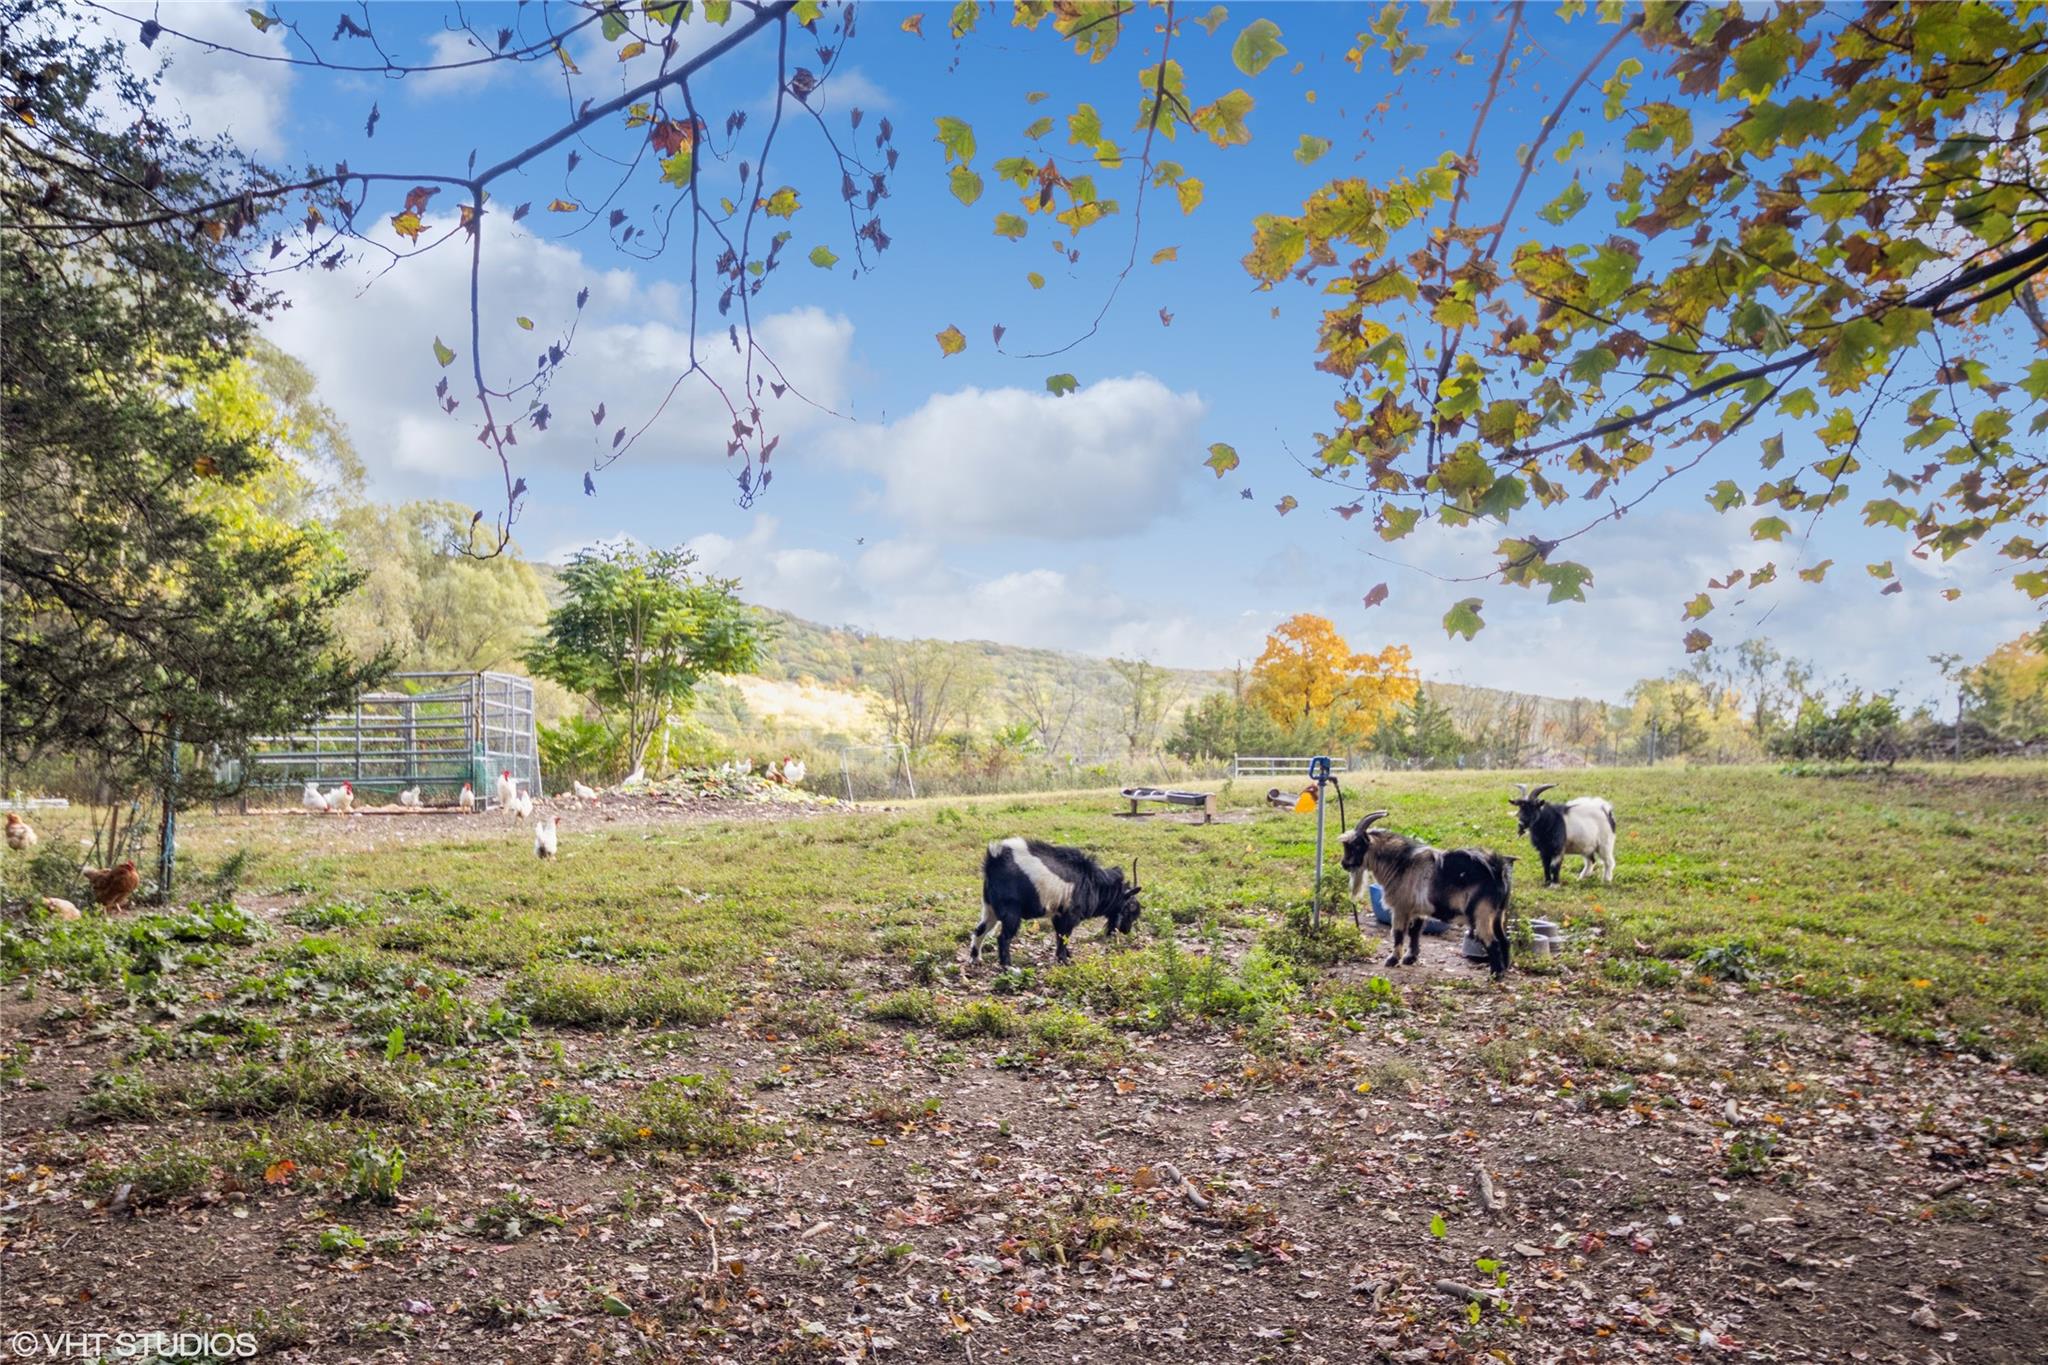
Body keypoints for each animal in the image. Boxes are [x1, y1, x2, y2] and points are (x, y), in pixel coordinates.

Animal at [970, 834, 1146, 970]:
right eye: (1131, 907)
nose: (1126, 930)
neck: (1093, 882)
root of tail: (994, 859)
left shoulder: (1057, 914)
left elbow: (1060, 936)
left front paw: (1067, 956)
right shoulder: (1070, 915)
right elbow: (1064, 936)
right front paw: (1064, 960)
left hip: (989, 908)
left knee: (980, 930)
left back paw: (975, 959)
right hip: (1011, 912)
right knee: (1003, 938)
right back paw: (1008, 966)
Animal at [1327, 810, 1523, 982]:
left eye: (1357, 845)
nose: (1344, 864)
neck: (1401, 863)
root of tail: (1498, 870)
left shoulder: (1401, 907)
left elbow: (1398, 932)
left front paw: (1392, 959)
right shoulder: (1418, 909)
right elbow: (1415, 932)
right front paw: (1410, 958)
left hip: (1481, 914)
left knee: (1493, 942)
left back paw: (1495, 976)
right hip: (1498, 914)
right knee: (1505, 941)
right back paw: (1505, 969)